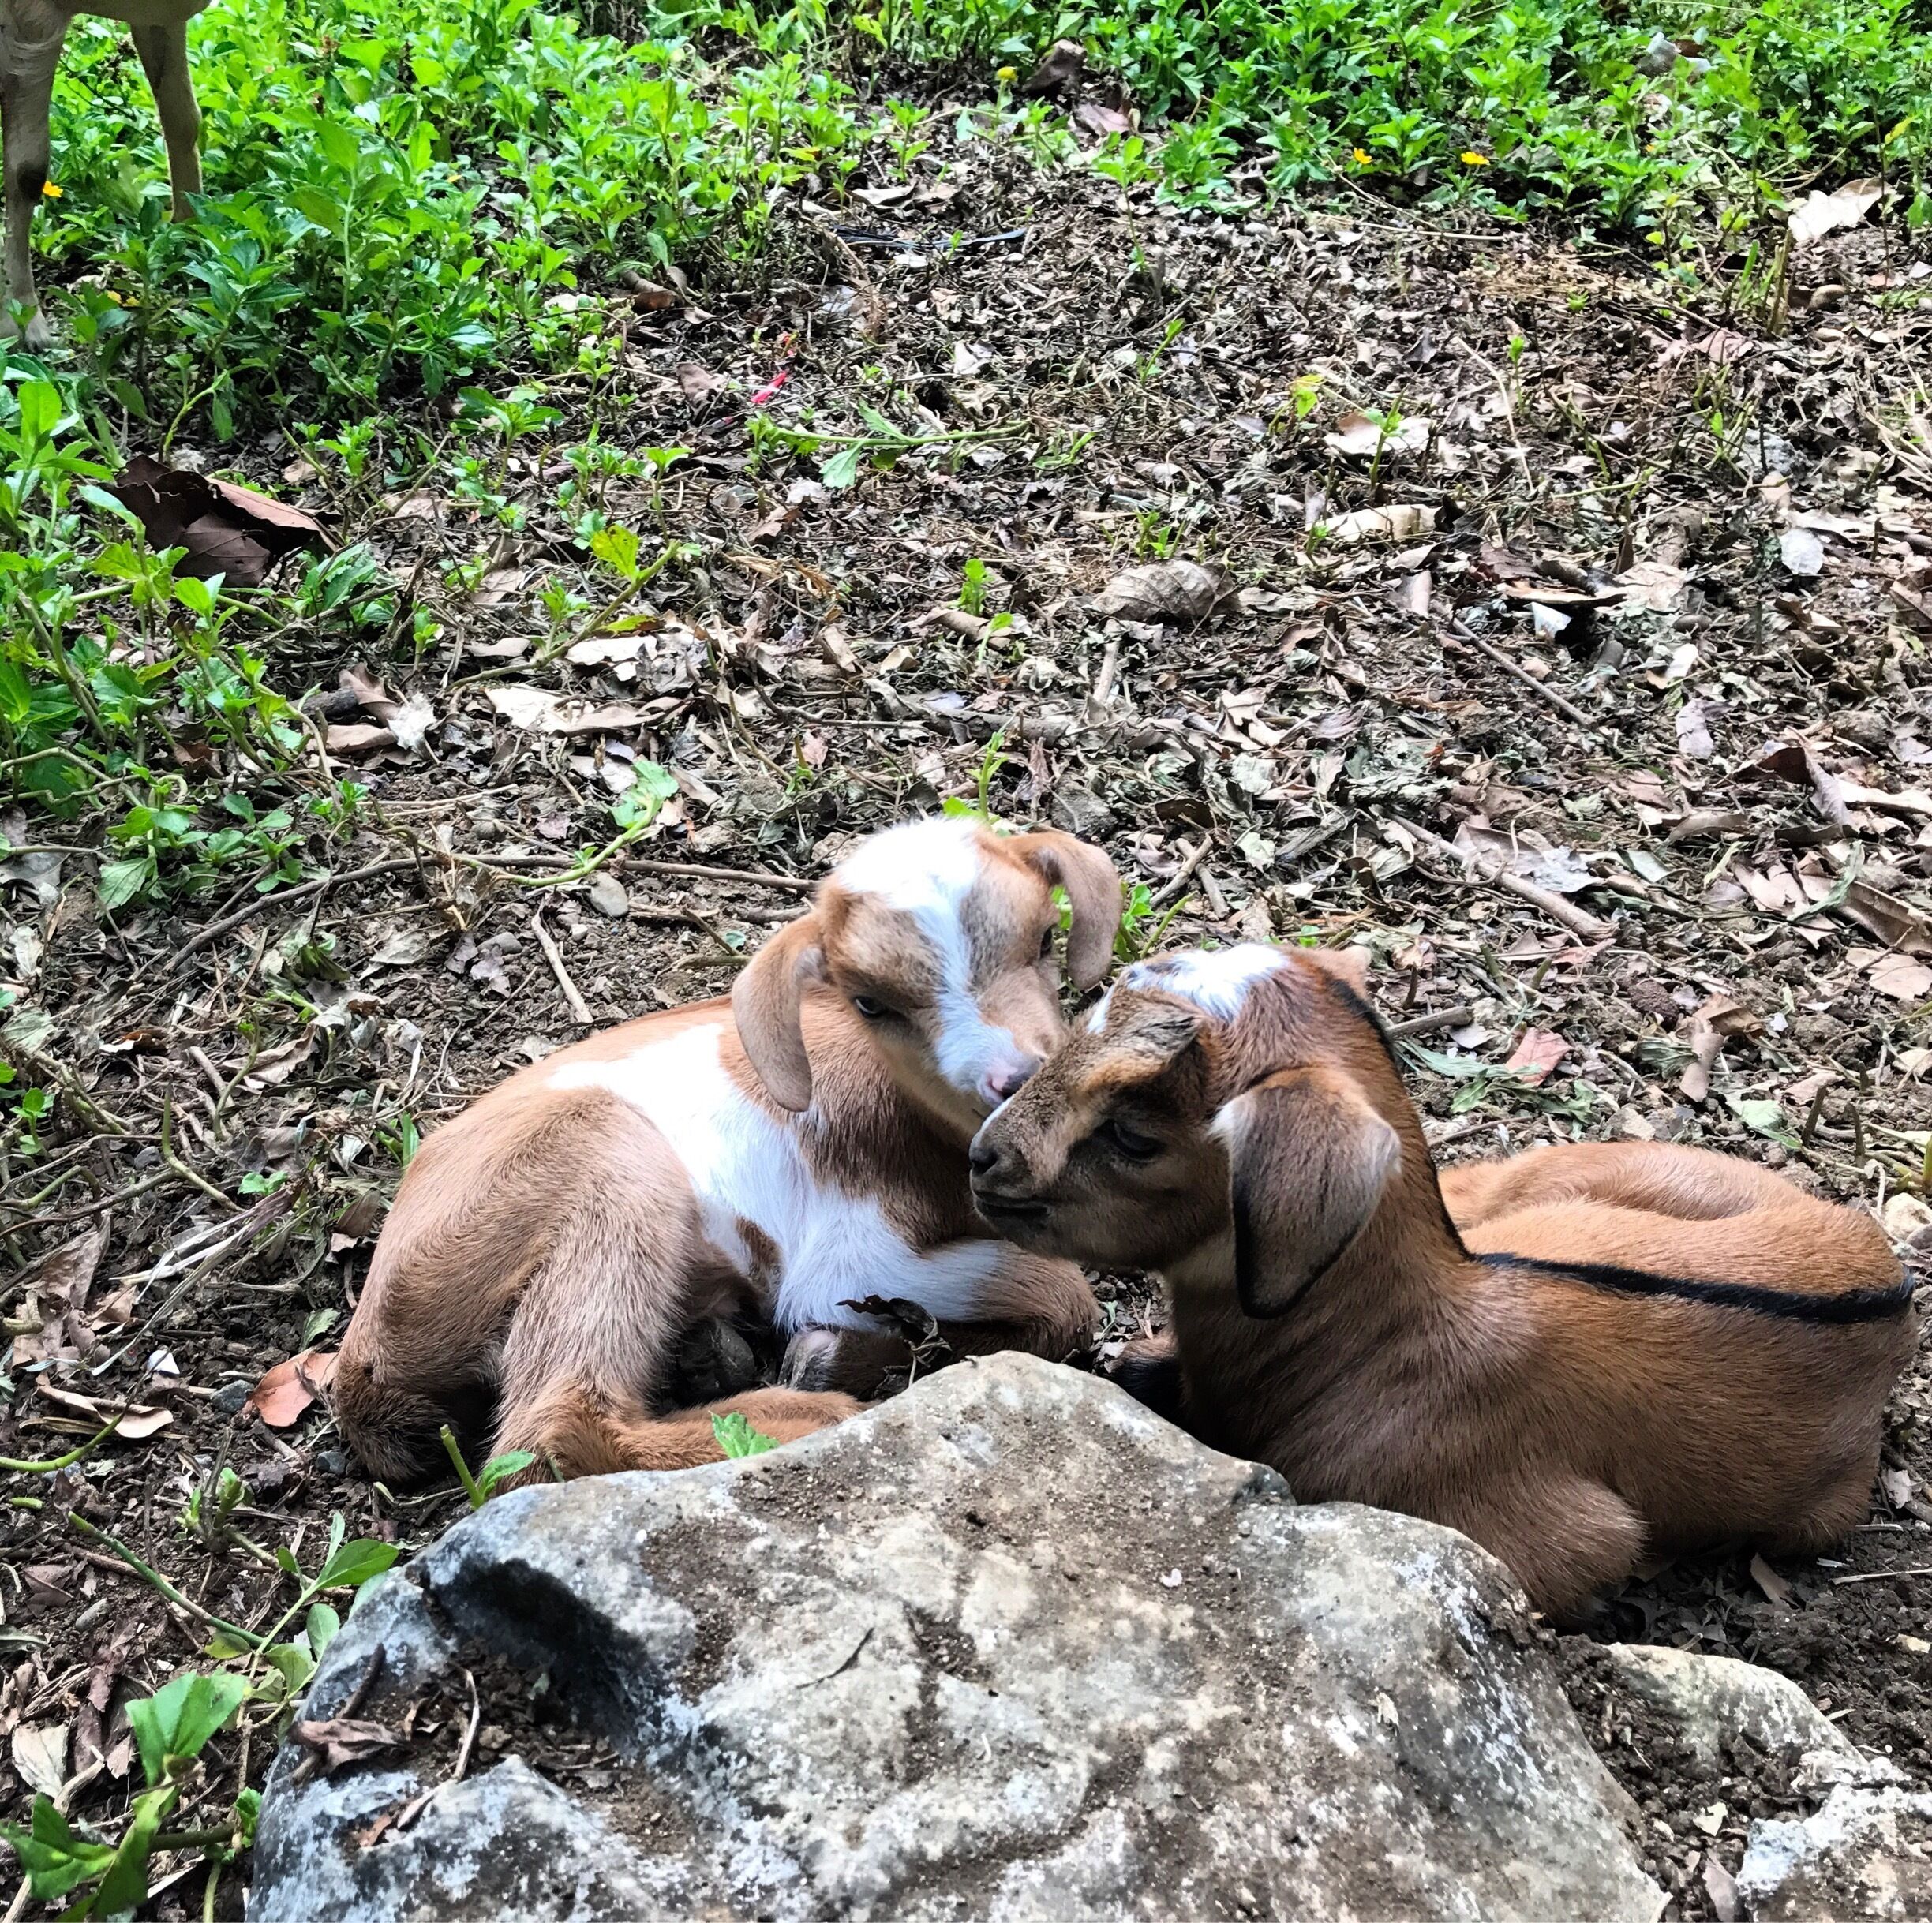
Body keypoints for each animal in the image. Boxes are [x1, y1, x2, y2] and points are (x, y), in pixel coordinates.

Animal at [3, 0, 204, 347]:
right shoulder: (30, 20)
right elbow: (27, 170)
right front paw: (26, 323)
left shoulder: (160, 17)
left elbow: (183, 120)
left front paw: (193, 238)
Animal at [333, 816, 1120, 1484]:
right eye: (870, 1003)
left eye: (1045, 939)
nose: (1015, 1081)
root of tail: (361, 1363)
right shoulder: (848, 1254)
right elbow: (1065, 1295)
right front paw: (832, 1358)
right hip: (610, 1159)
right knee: (551, 1430)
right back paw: (805, 1417)